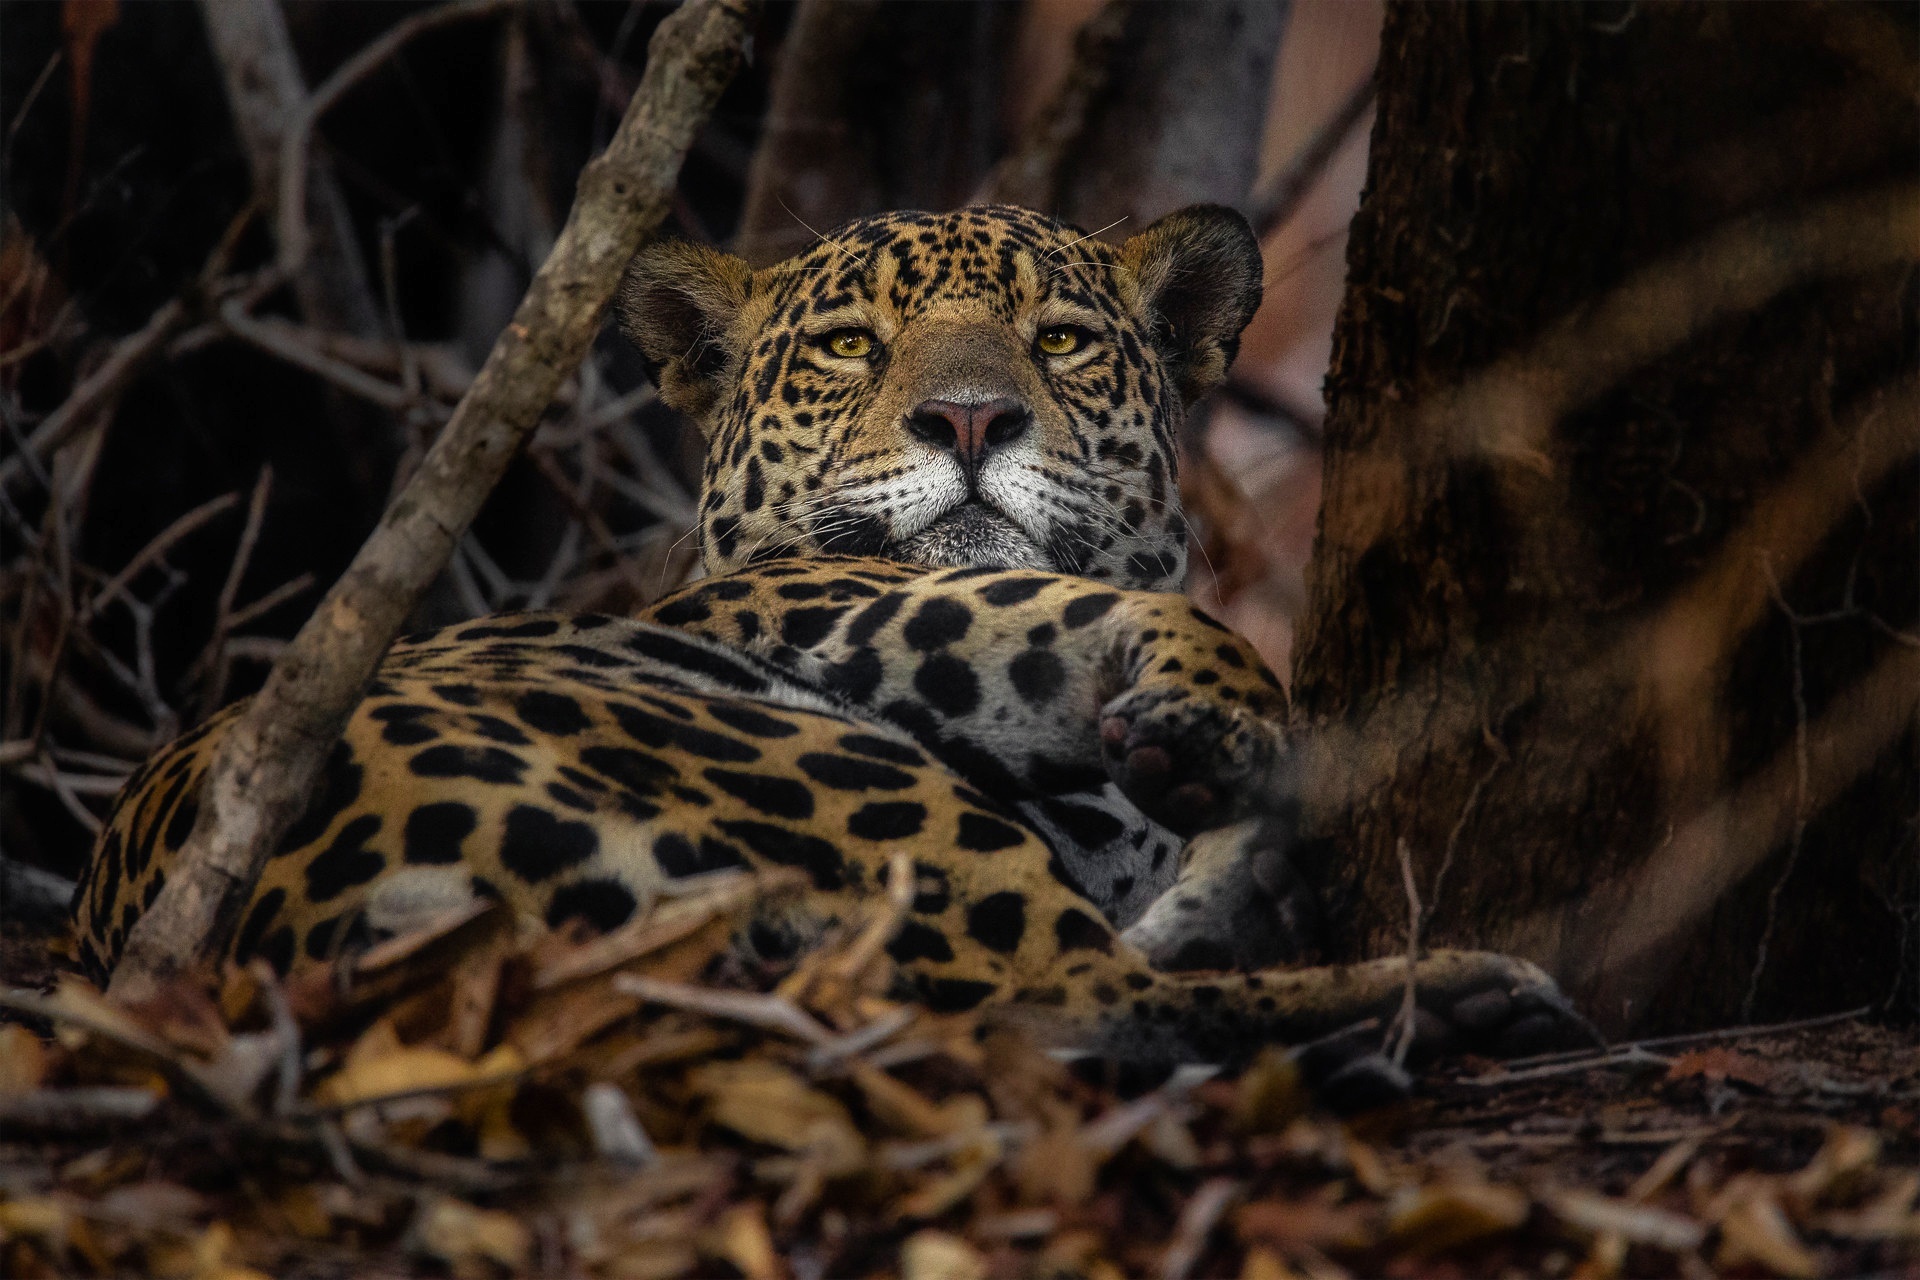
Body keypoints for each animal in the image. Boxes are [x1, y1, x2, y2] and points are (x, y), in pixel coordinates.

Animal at [73, 204, 1580, 1079]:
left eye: (1063, 340)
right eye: (851, 346)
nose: (971, 419)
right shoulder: (858, 604)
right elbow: (1092, 611)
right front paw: (1220, 723)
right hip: (837, 780)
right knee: (1056, 1002)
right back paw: (1442, 996)